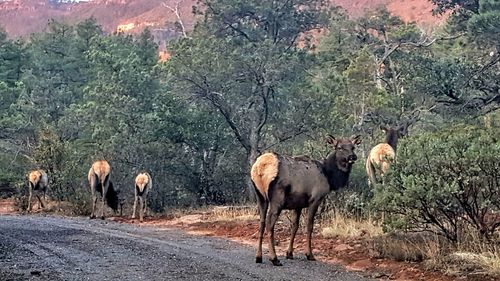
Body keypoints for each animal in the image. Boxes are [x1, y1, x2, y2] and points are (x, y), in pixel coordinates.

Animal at [252, 133, 362, 264]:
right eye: (339, 147)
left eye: (353, 147)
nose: (352, 157)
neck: (329, 176)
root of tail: (260, 168)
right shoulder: (315, 199)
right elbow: (309, 226)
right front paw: (309, 254)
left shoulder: (298, 204)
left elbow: (295, 226)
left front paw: (289, 253)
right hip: (277, 198)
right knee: (270, 225)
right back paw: (274, 258)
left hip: (260, 197)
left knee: (261, 223)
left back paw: (258, 257)